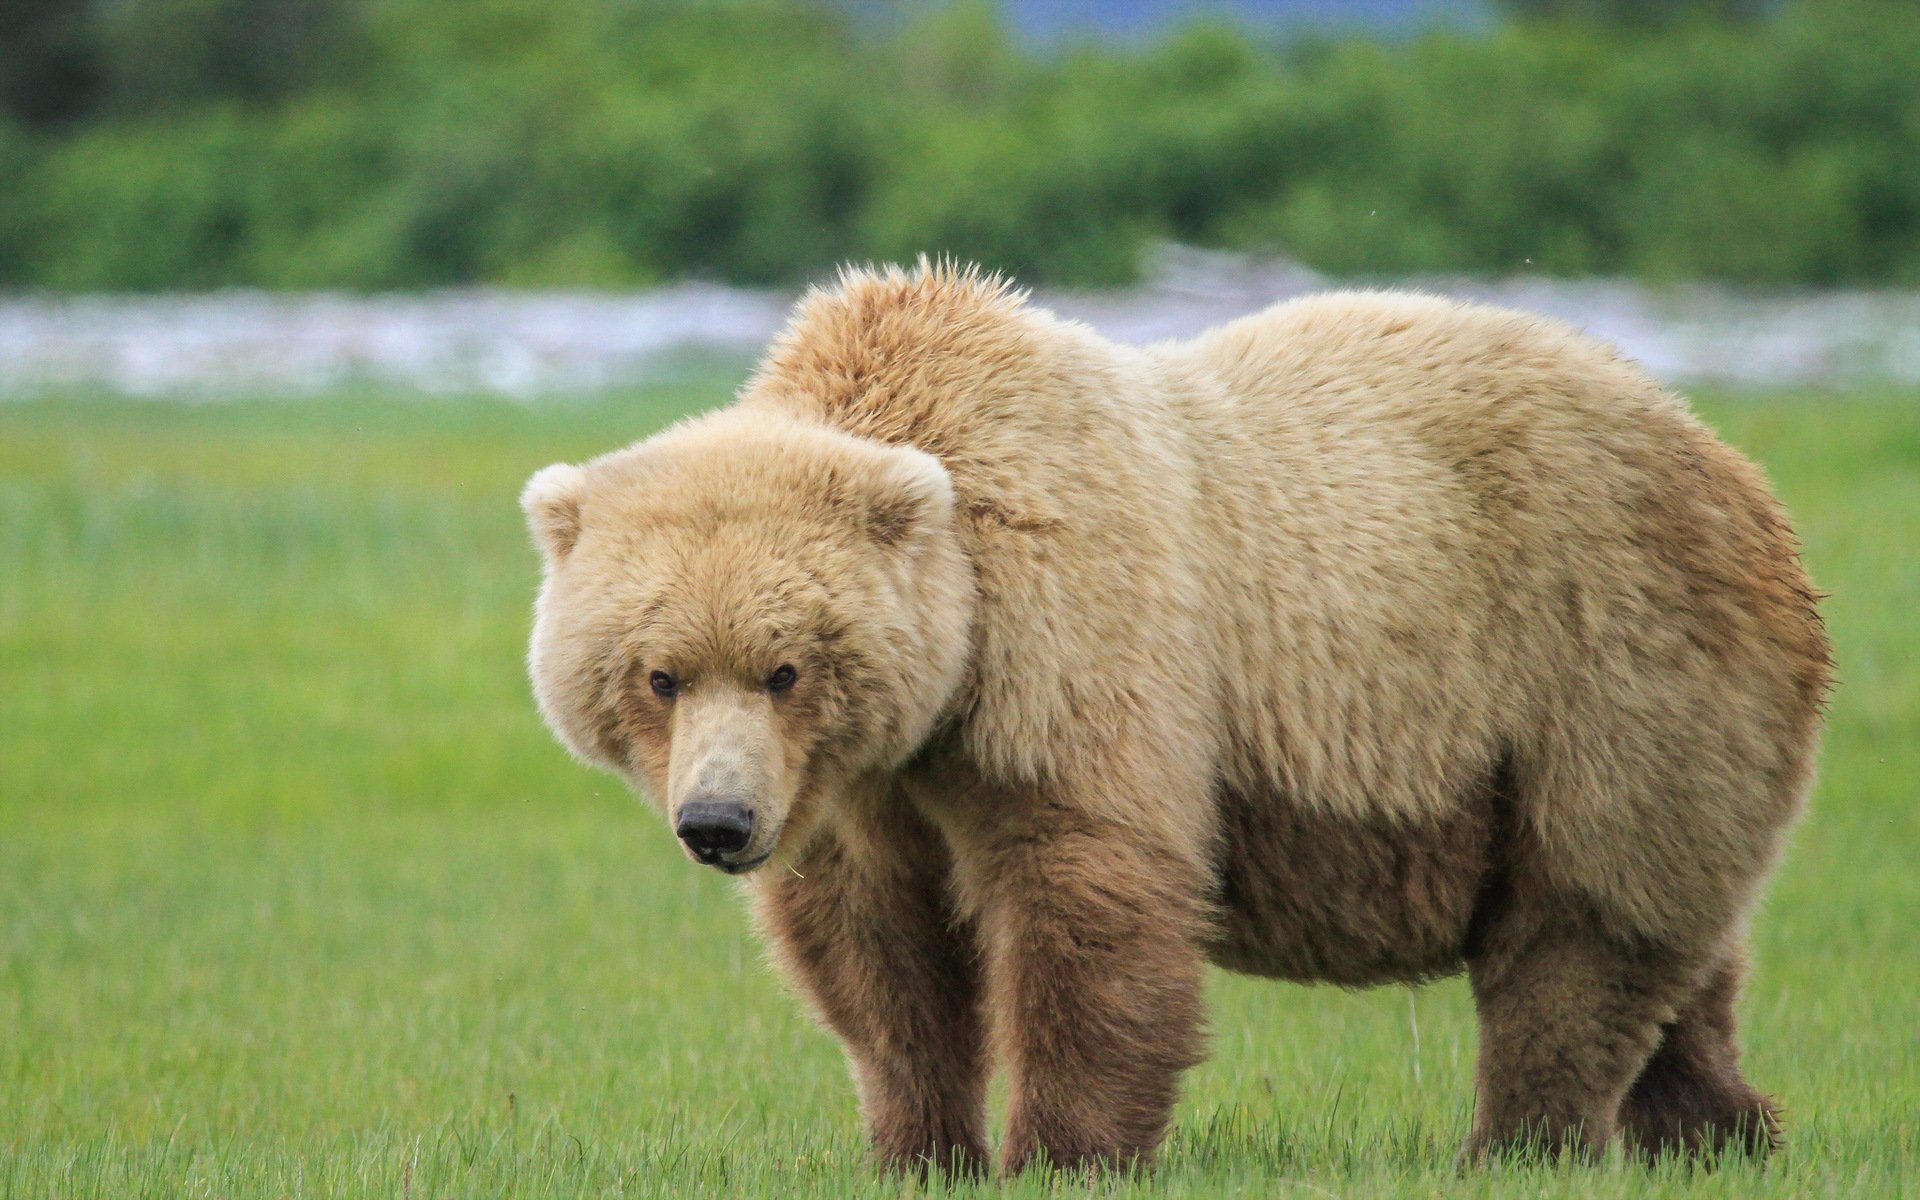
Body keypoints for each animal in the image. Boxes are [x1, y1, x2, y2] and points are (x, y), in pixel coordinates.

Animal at [520, 263, 1830, 1176]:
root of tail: (1728, 457)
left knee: (1580, 933)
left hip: (1603, 663)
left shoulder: (1071, 653)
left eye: (785, 667)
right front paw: (916, 1149)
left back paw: (1520, 1145)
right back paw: (1720, 1130)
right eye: (659, 675)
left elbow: (1088, 901)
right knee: (1675, 951)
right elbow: (877, 955)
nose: (718, 823)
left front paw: (1062, 1153)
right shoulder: (862, 788)